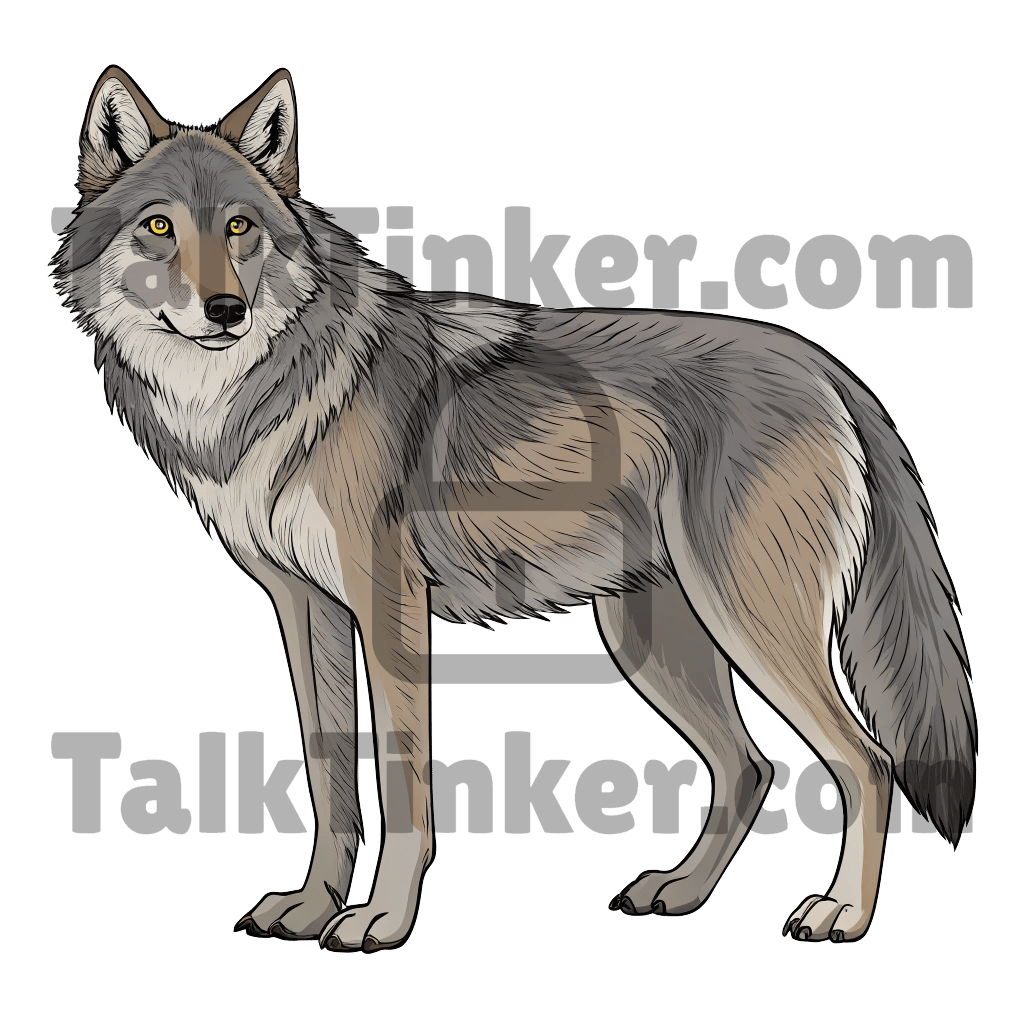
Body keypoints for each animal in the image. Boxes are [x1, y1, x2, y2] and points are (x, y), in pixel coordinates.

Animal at [50, 65, 977, 953]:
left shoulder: (390, 611)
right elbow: (329, 780)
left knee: (866, 762)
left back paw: (840, 915)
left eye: (240, 227)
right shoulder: (306, 608)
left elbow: (402, 786)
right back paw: (680, 893)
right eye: (160, 227)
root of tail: (826, 365)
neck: (266, 390)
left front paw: (379, 921)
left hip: (746, 624)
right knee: (749, 766)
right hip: (655, 644)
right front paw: (311, 909)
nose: (226, 311)